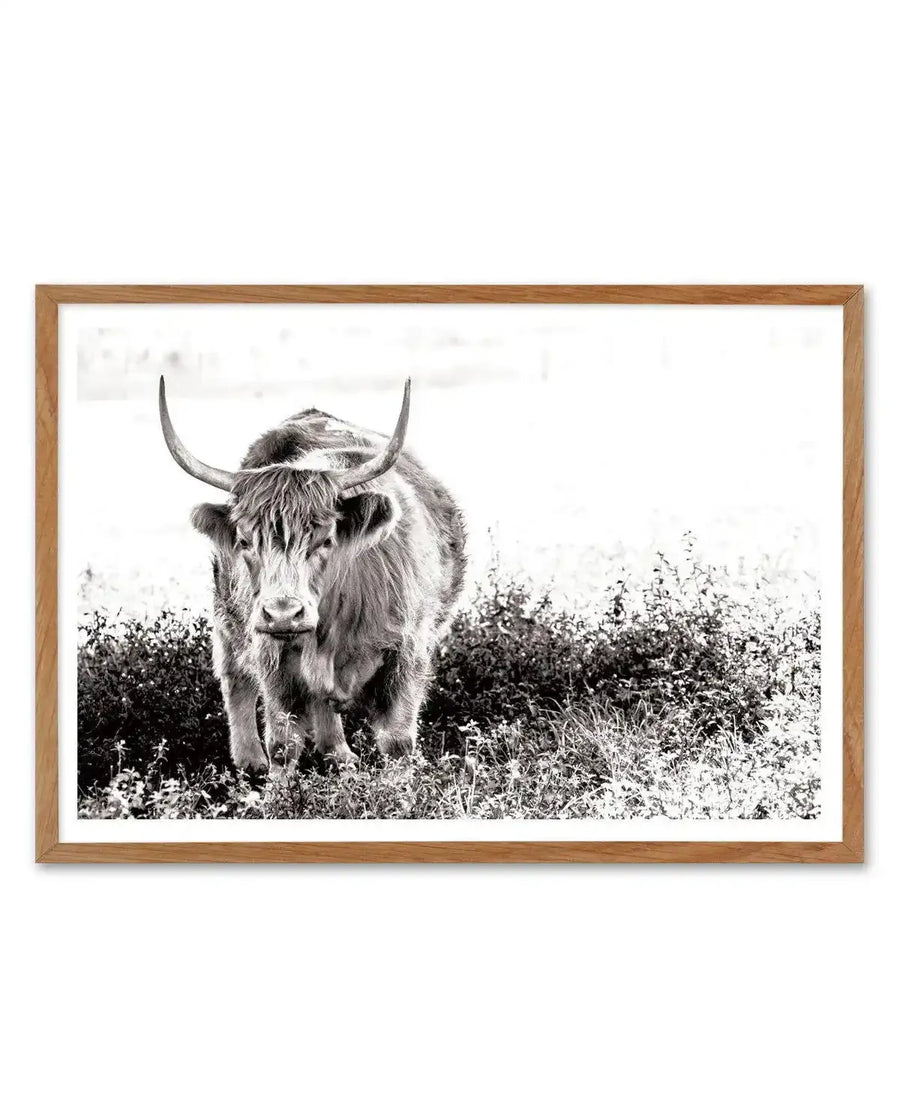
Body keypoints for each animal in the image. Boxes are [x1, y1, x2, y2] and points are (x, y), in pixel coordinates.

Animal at [158, 376, 466, 773]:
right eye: (244, 541)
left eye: (326, 540)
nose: (283, 614)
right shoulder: (271, 656)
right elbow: (282, 742)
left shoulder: (407, 653)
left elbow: (397, 741)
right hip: (227, 617)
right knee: (235, 679)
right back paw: (250, 762)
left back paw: (340, 756)